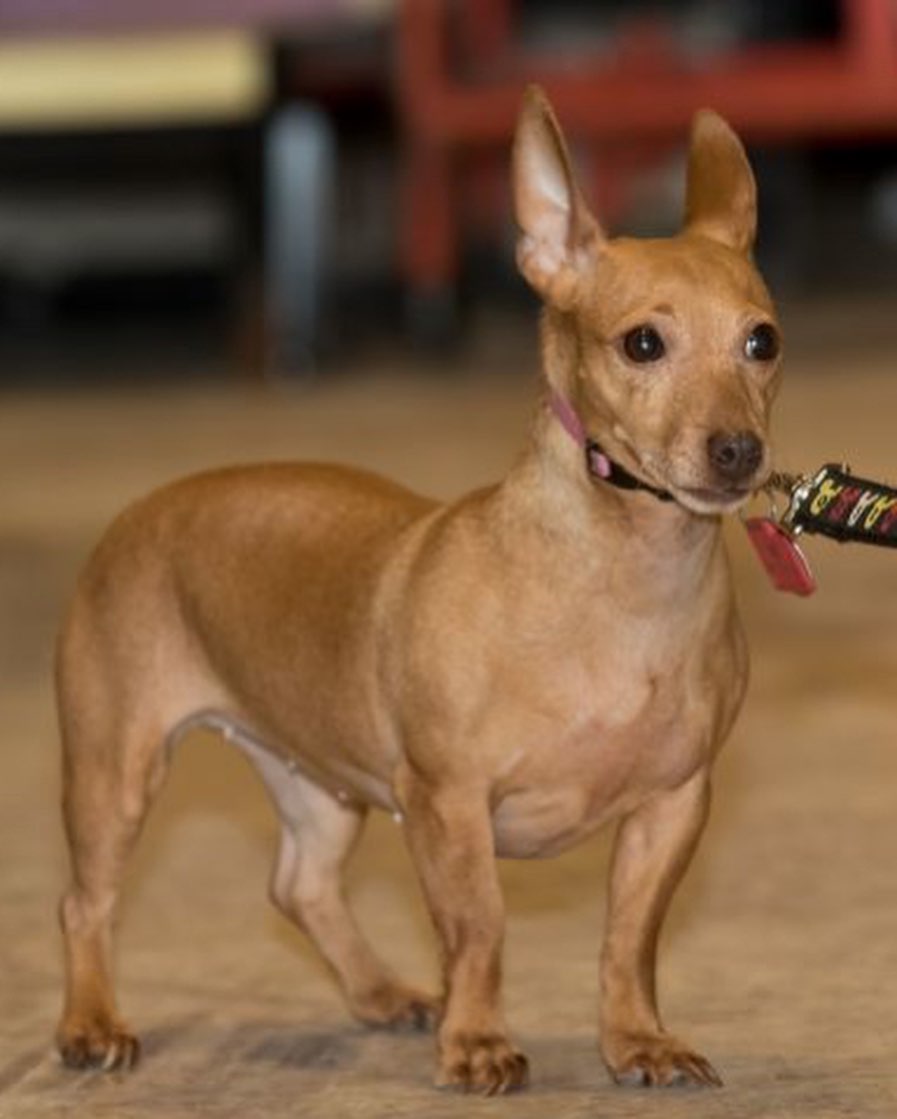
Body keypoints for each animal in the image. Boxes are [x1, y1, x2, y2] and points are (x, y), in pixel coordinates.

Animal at [55, 89, 778, 1092]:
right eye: (642, 343)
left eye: (761, 341)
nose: (738, 450)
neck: (620, 582)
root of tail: (143, 507)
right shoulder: (447, 802)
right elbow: (479, 929)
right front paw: (477, 1041)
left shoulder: (672, 804)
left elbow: (628, 939)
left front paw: (637, 1038)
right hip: (115, 771)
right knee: (86, 901)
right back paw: (91, 1020)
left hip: (317, 780)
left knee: (299, 884)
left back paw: (379, 993)